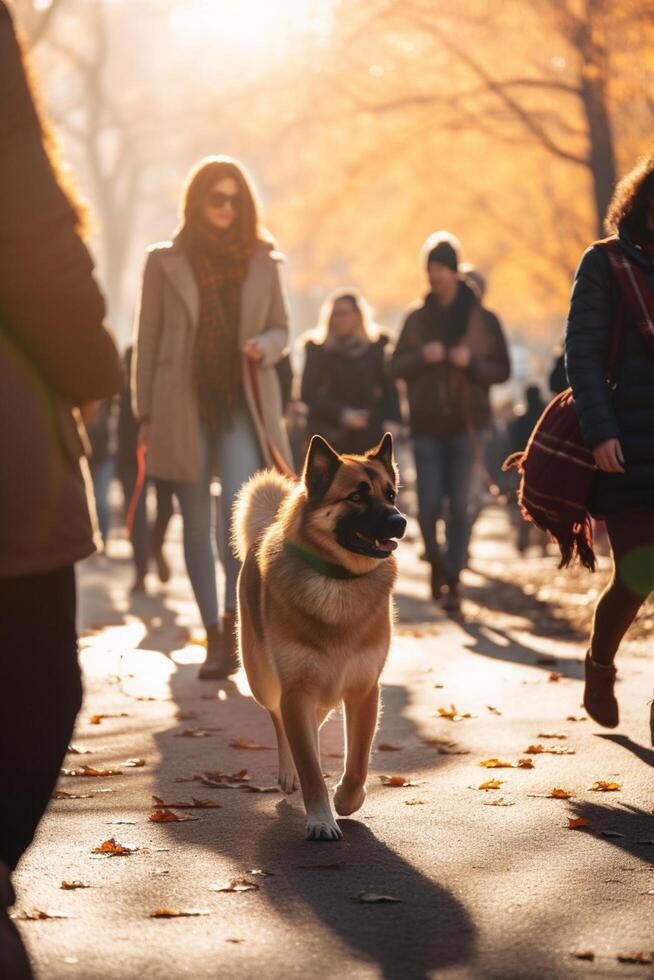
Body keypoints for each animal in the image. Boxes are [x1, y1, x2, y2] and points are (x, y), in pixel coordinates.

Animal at [231, 432, 404, 840]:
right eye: (356, 496)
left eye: (390, 494)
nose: (401, 520)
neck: (337, 580)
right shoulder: (297, 690)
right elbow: (310, 766)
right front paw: (321, 819)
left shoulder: (363, 689)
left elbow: (358, 760)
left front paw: (347, 799)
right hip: (264, 680)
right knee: (280, 721)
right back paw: (287, 770)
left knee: (316, 720)